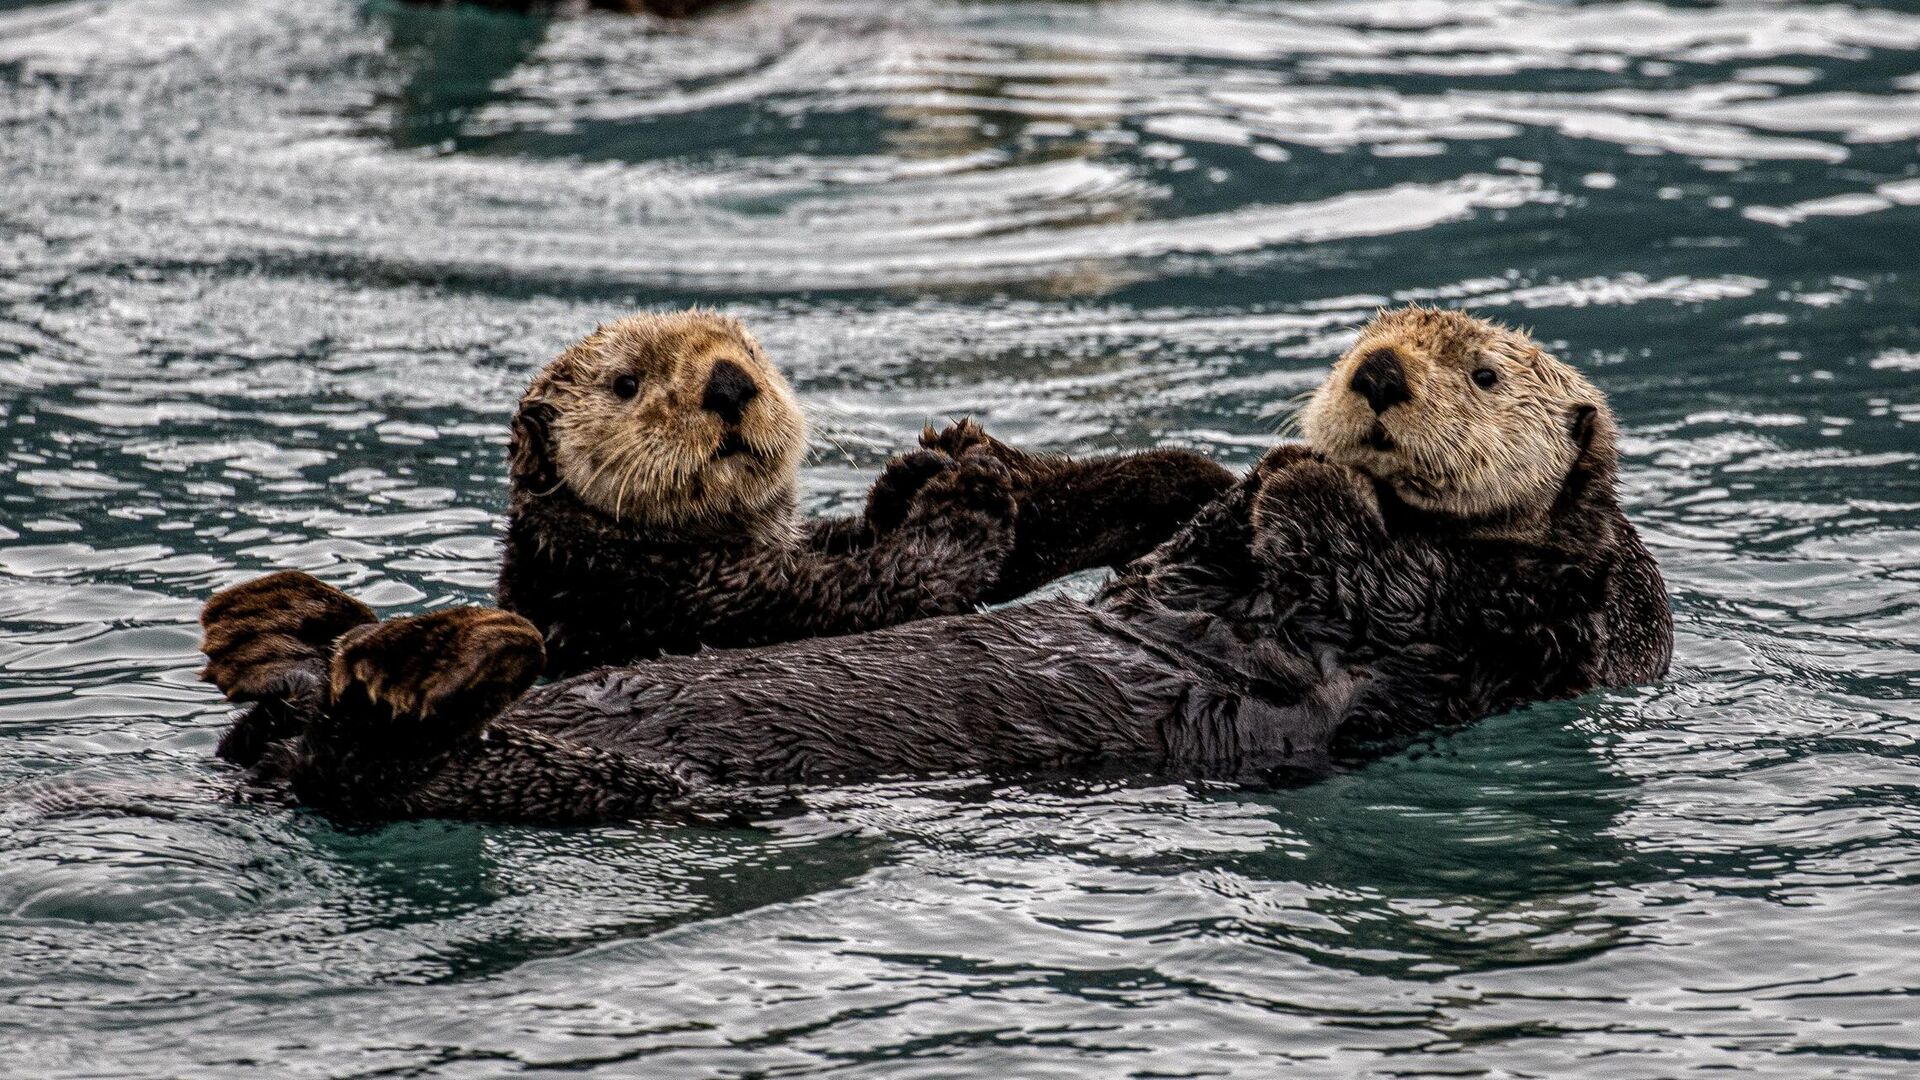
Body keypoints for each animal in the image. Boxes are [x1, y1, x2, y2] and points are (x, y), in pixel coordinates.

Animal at [191, 307, 1666, 818]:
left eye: (1485, 372)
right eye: (1374, 339)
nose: (1374, 376)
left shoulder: (1494, 630)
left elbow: (1380, 591)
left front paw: (1311, 484)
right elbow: (1186, 546)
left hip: (586, 785)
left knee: (397, 757)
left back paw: (405, 653)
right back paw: (327, 632)